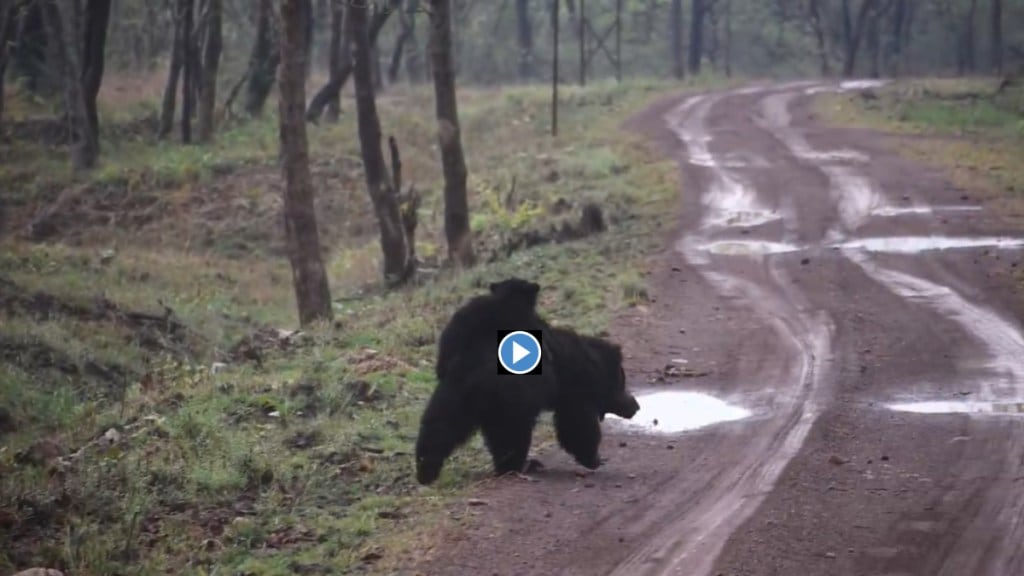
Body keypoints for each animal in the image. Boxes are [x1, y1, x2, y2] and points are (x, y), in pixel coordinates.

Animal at [415, 276, 638, 481]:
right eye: (622, 381)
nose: (635, 406)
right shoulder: (571, 389)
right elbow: (577, 422)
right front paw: (593, 458)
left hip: (454, 396)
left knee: (438, 428)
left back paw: (426, 470)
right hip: (509, 402)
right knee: (512, 434)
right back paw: (519, 465)